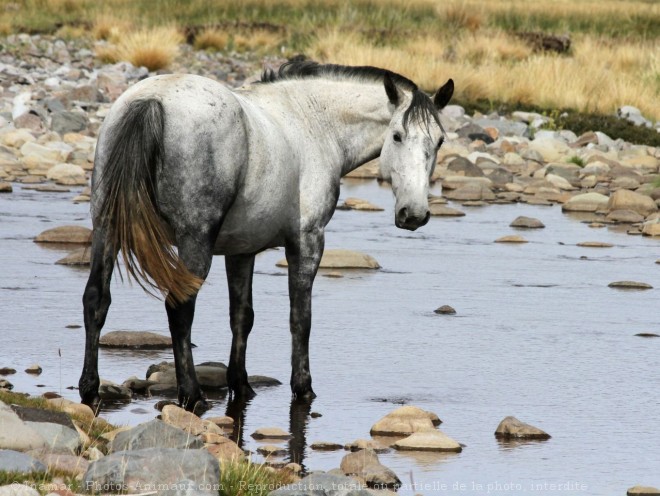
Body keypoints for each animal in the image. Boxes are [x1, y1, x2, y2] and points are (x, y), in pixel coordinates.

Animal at [78, 60, 454, 412]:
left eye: (439, 141)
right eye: (397, 136)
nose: (413, 214)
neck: (314, 121)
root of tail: (152, 100)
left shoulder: (240, 250)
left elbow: (242, 316)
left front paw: (240, 383)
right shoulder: (307, 241)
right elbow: (300, 317)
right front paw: (303, 387)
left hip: (107, 227)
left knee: (97, 299)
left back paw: (90, 389)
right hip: (194, 239)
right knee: (180, 308)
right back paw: (192, 394)